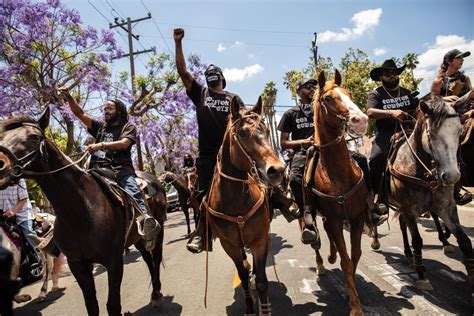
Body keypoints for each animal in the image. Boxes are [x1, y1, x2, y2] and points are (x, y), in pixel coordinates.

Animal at [0, 109, 168, 316]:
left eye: (34, 137)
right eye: (1, 137)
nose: (0, 165)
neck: (81, 211)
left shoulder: (113, 260)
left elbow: (113, 305)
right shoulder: (77, 264)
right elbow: (91, 305)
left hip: (159, 230)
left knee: (156, 258)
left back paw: (158, 295)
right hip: (137, 237)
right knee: (147, 259)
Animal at [205, 97, 286, 316]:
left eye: (266, 130)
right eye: (241, 133)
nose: (277, 170)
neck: (235, 201)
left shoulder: (260, 240)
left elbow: (261, 281)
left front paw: (264, 308)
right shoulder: (229, 245)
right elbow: (242, 274)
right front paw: (250, 308)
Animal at [306, 69, 368, 316]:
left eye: (349, 93)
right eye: (329, 98)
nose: (361, 121)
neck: (339, 174)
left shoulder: (357, 217)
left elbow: (355, 256)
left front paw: (354, 294)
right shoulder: (334, 217)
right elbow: (346, 261)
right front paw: (355, 306)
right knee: (317, 237)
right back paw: (322, 263)